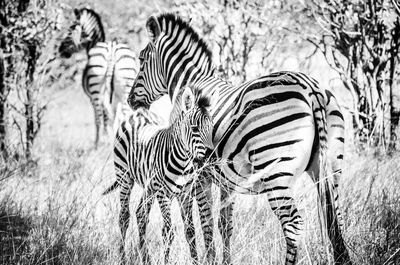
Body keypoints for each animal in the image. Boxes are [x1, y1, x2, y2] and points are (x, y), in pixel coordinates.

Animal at [57, 7, 136, 146]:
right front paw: (112, 137)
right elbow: (114, 117)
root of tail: (112, 50)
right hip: (126, 86)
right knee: (126, 114)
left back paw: (97, 143)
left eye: (70, 30)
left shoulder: (92, 98)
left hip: (96, 88)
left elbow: (102, 116)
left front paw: (104, 138)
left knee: (99, 116)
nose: (60, 50)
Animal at [101, 85, 217, 264]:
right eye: (195, 128)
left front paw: (195, 261)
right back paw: (122, 258)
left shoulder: (185, 195)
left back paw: (145, 258)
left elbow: (190, 230)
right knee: (124, 216)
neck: (184, 163)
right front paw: (166, 261)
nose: (210, 157)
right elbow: (168, 231)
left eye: (211, 128)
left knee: (141, 214)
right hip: (124, 176)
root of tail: (139, 112)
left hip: (149, 187)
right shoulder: (164, 194)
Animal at [127, 13, 350, 264]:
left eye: (141, 59)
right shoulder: (227, 179)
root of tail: (311, 89)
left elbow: (200, 224)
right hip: (330, 168)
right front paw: (224, 260)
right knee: (336, 220)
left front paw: (207, 259)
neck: (190, 85)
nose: (130, 100)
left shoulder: (195, 176)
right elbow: (224, 224)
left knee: (293, 223)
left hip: (277, 173)